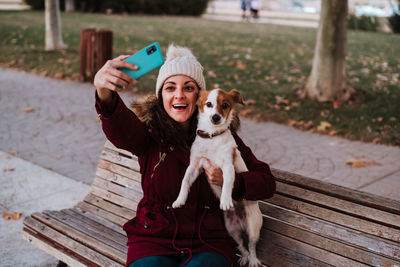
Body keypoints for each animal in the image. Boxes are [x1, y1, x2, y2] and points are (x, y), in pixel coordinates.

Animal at [172, 88, 262, 267]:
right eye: (208, 104)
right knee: (241, 245)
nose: (215, 117)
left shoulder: (227, 167)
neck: (212, 137)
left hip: (253, 226)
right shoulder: (194, 167)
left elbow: (227, 184)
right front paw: (180, 199)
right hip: (231, 229)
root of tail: (240, 219)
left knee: (251, 244)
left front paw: (226, 200)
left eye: (225, 105)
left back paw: (253, 259)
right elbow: (184, 182)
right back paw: (244, 257)